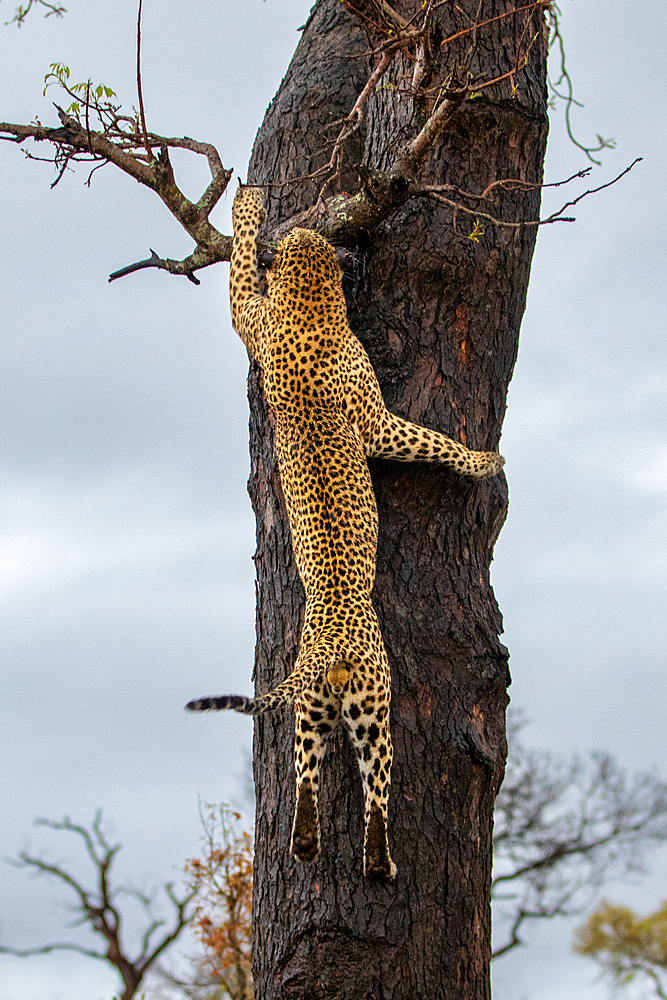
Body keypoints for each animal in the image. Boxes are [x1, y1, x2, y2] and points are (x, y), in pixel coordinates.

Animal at [185, 184, 504, 880]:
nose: (309, 230)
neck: (307, 306)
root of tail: (326, 653)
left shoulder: (250, 318)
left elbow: (239, 275)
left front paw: (247, 209)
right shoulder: (380, 421)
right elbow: (431, 442)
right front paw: (483, 460)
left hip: (311, 711)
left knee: (304, 777)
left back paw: (305, 843)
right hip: (374, 705)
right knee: (376, 787)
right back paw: (380, 863)